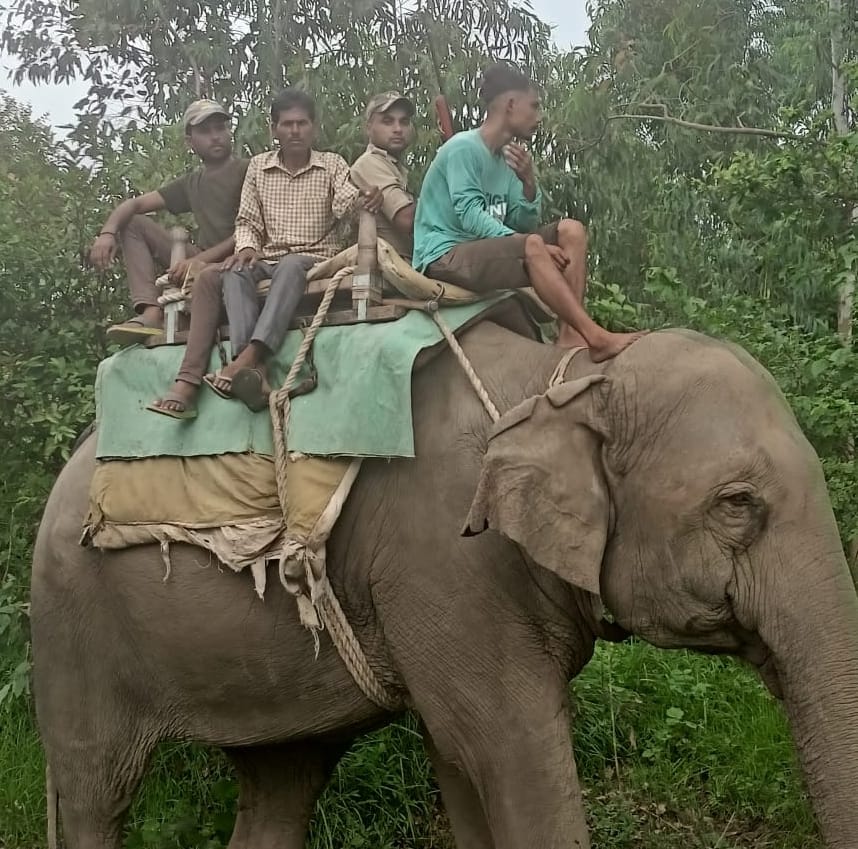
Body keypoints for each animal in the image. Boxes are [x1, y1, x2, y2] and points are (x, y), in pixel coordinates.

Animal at [31, 319, 858, 849]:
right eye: (738, 503)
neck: (559, 380)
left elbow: (457, 752)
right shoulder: (444, 563)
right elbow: (507, 743)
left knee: (281, 782)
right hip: (74, 629)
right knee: (96, 790)